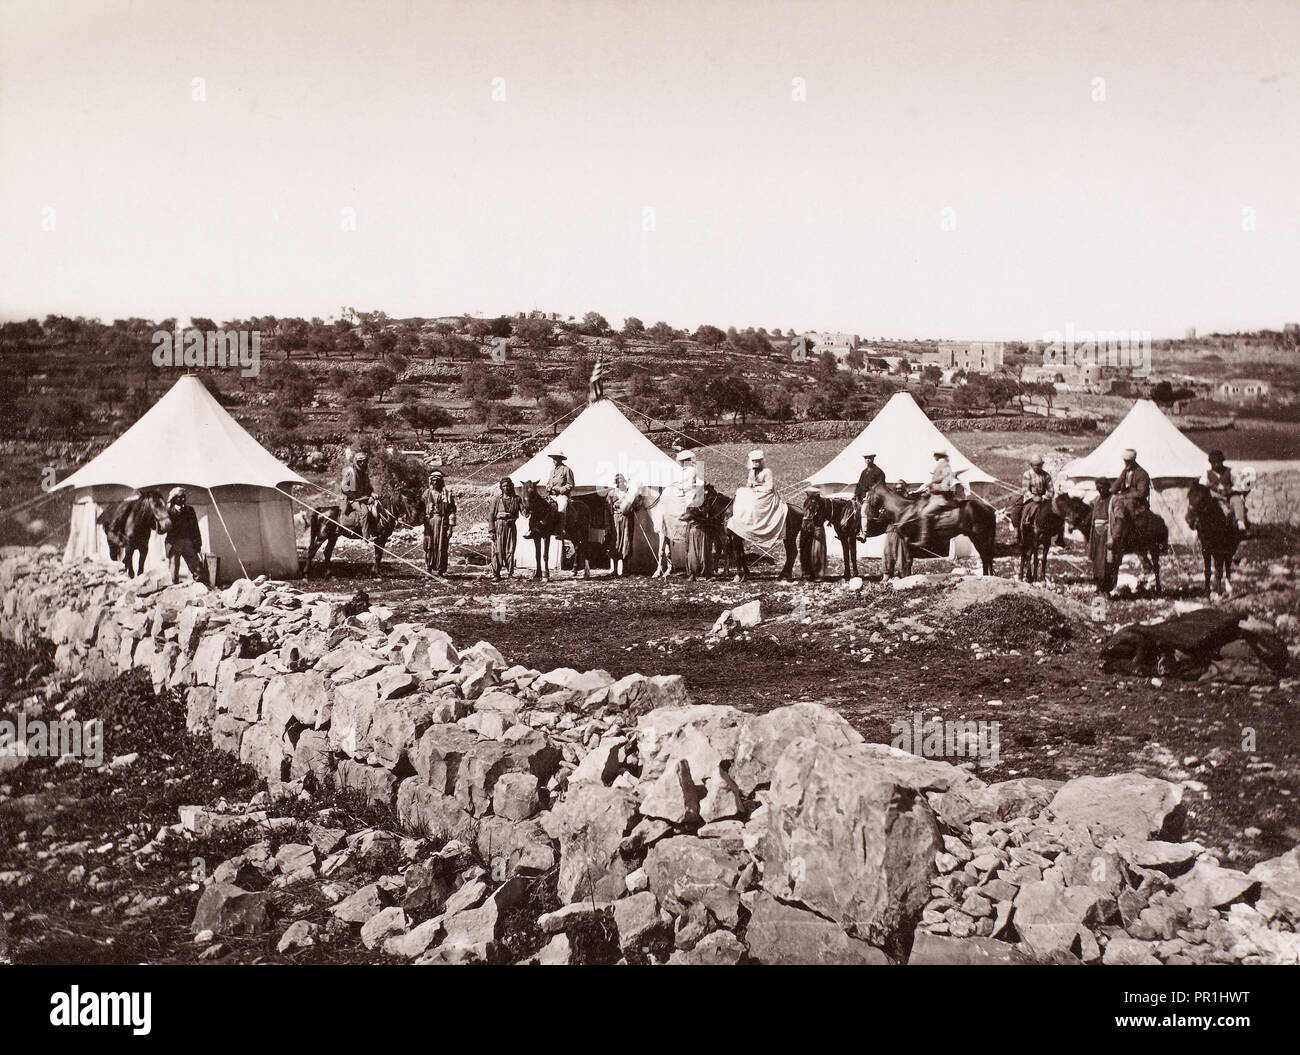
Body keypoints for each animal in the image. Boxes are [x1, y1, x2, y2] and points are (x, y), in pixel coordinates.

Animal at [863, 480, 993, 571]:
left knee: (986, 556)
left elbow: (908, 562)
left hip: (979, 536)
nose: (869, 515)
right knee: (986, 557)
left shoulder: (908, 540)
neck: (903, 509)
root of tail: (987, 508)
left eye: (868, 495)